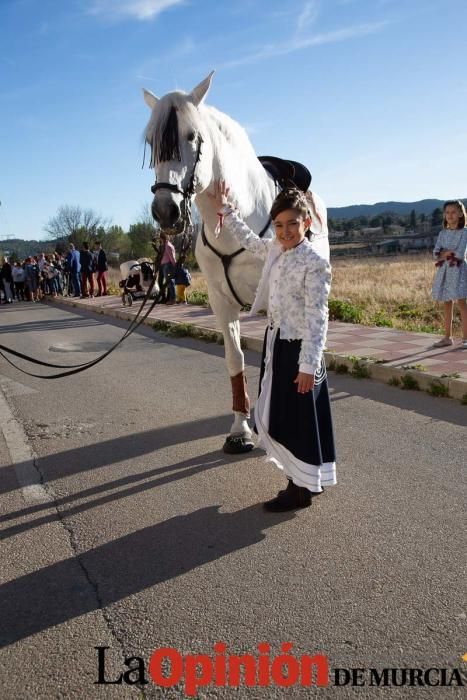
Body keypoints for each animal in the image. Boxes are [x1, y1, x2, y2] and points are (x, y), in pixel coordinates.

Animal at [143, 71, 330, 454]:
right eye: (152, 142)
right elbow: (236, 360)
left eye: (191, 136)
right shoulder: (221, 302)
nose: (166, 211)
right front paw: (240, 429)